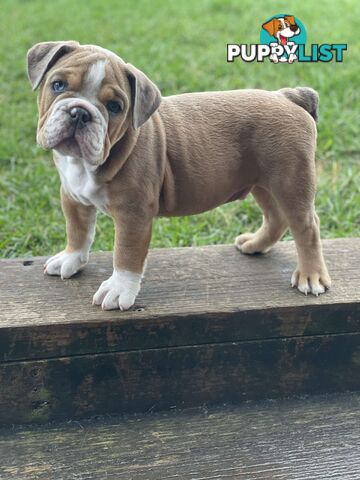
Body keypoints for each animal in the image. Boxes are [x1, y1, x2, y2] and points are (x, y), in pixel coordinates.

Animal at [27, 41, 332, 312]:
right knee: (276, 217)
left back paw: (311, 276)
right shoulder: (72, 198)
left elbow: (126, 253)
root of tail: (288, 96)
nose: (79, 113)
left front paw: (119, 289)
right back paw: (255, 245)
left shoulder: (133, 215)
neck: (84, 164)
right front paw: (70, 259)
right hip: (262, 182)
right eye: (58, 85)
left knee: (307, 226)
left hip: (291, 181)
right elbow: (77, 231)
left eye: (114, 107)